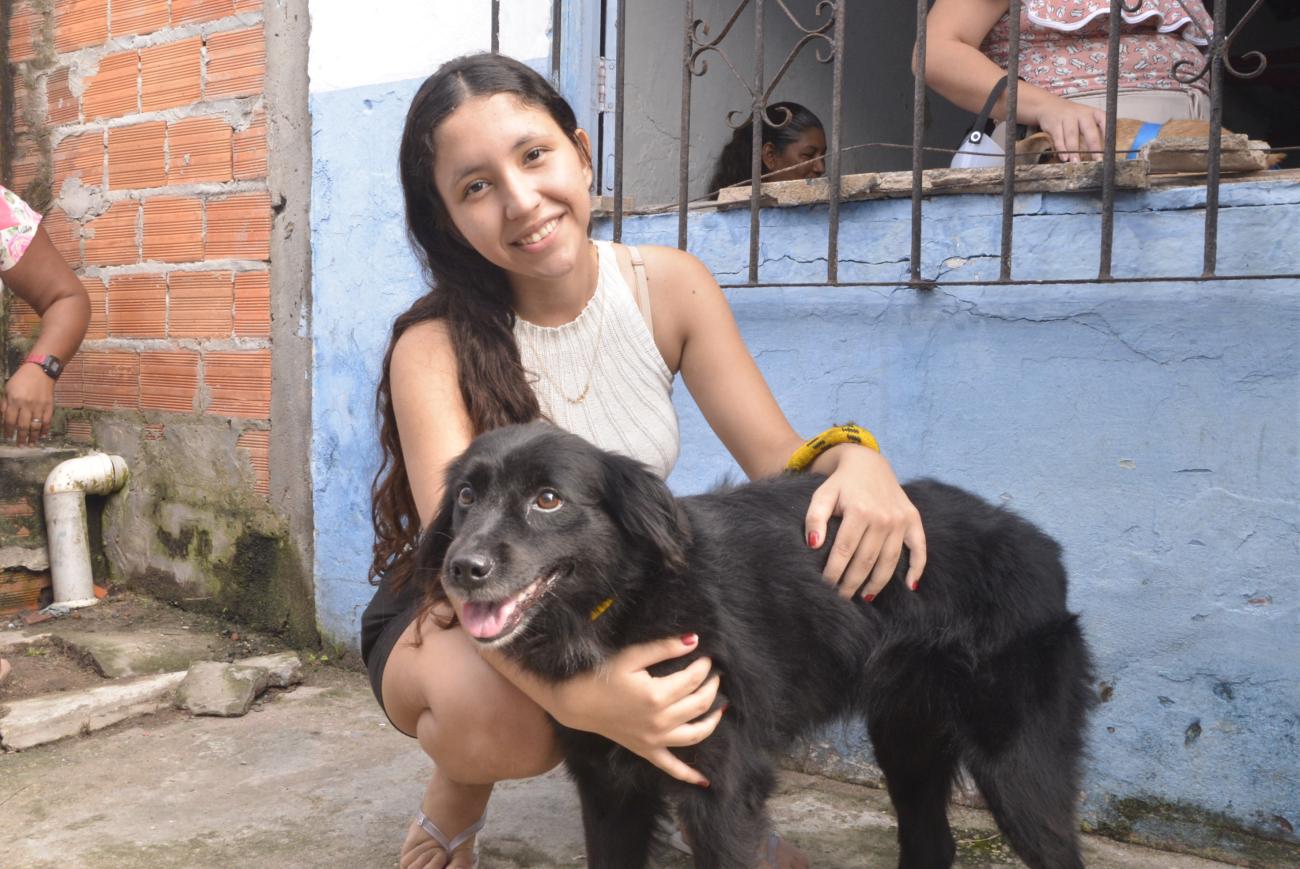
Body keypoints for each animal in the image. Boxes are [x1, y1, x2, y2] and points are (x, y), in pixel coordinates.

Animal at [420, 421, 1094, 869]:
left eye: (548, 499)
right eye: (466, 497)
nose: (462, 569)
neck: (628, 602)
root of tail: (1045, 548)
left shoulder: (722, 789)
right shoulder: (607, 785)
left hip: (1017, 770)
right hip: (907, 739)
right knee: (933, 840)